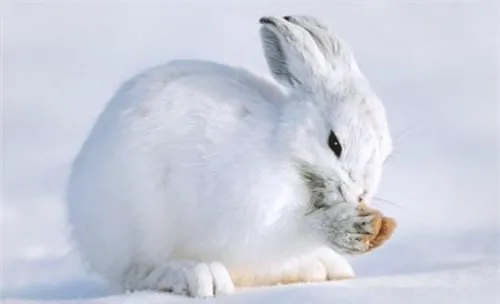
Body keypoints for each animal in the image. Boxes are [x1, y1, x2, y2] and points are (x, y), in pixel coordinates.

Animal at [66, 14, 394, 296]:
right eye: (334, 144)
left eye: (384, 151)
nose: (360, 193)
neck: (290, 153)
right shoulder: (255, 215)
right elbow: (291, 230)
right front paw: (346, 228)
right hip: (143, 222)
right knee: (138, 273)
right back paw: (199, 275)